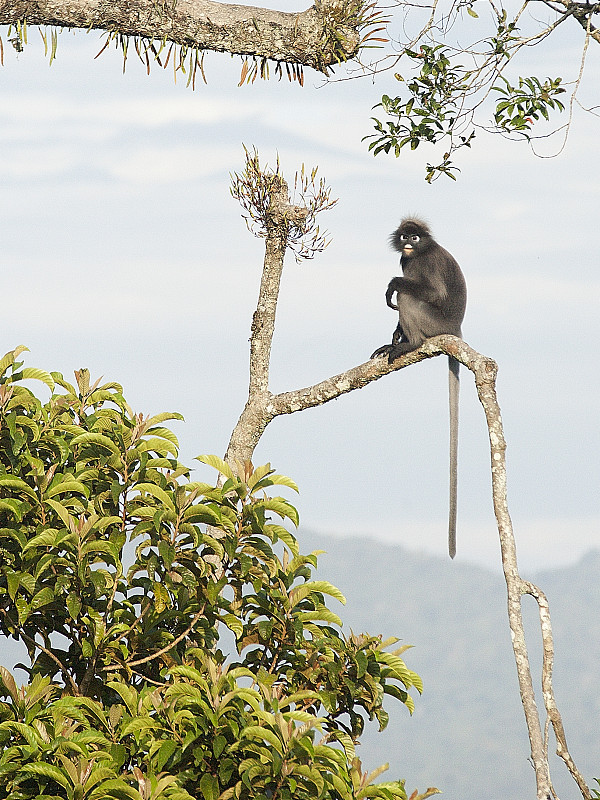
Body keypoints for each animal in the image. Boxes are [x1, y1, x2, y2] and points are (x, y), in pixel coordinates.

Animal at [372, 217, 466, 556]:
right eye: (404, 236)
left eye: (415, 237)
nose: (407, 243)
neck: (416, 255)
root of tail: (455, 330)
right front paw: (393, 336)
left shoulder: (426, 263)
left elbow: (431, 292)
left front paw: (392, 284)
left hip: (434, 323)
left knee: (409, 297)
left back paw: (410, 343)